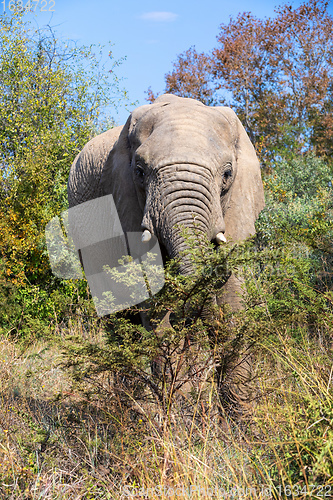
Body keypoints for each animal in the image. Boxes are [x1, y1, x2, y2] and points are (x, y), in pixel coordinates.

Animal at [67, 94, 264, 414]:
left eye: (227, 174)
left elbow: (233, 304)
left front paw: (244, 421)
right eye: (139, 171)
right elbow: (157, 307)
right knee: (119, 321)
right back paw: (129, 411)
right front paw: (179, 414)